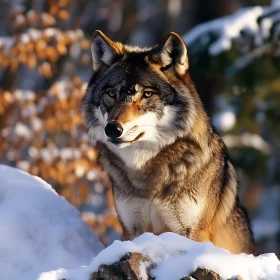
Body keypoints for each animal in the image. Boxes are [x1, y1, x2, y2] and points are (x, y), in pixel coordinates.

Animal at [82, 30, 255, 254]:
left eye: (147, 94)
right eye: (111, 93)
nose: (112, 129)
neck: (147, 177)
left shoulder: (193, 232)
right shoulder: (131, 230)